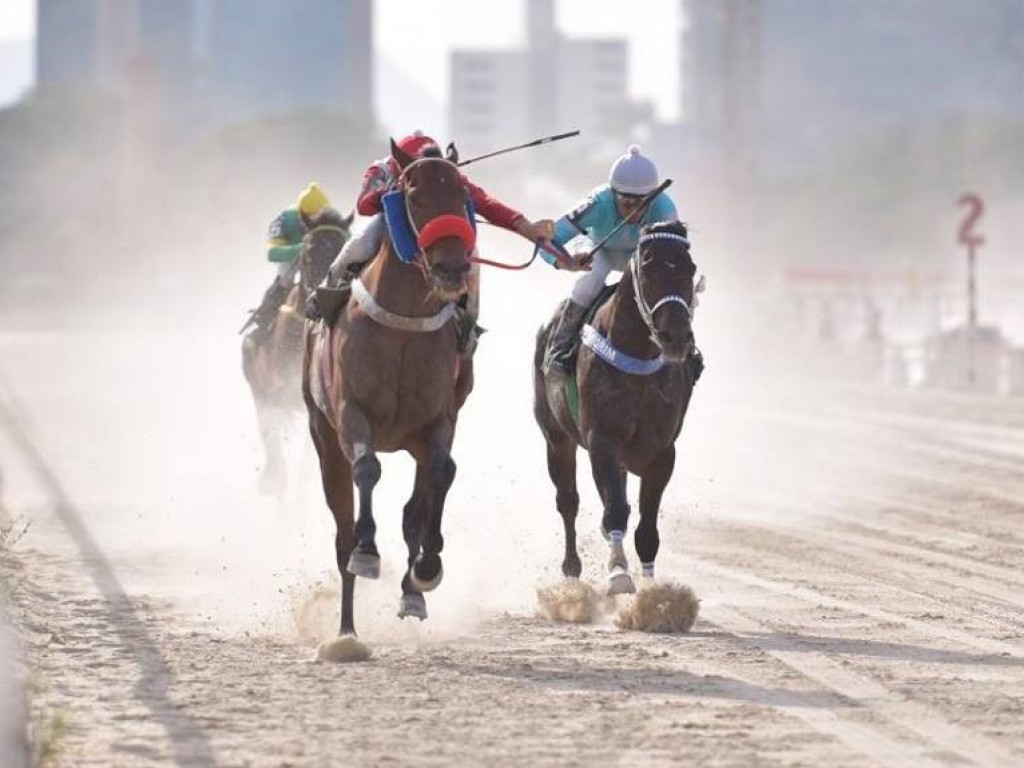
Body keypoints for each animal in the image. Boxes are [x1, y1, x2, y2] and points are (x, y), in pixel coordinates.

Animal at [301, 138, 477, 643]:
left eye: (463, 195)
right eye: (413, 197)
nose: (452, 267)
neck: (404, 322)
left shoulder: (438, 422)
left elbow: (439, 477)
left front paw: (427, 569)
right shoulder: (349, 414)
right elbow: (367, 469)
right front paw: (367, 550)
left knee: (416, 506)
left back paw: (412, 592)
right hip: (322, 438)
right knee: (341, 532)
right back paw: (345, 631)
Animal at [532, 221, 700, 593]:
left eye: (690, 268)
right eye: (649, 266)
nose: (676, 337)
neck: (639, 358)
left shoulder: (663, 452)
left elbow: (646, 528)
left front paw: (652, 593)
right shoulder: (602, 440)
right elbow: (615, 512)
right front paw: (619, 573)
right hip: (555, 437)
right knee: (568, 500)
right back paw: (571, 569)